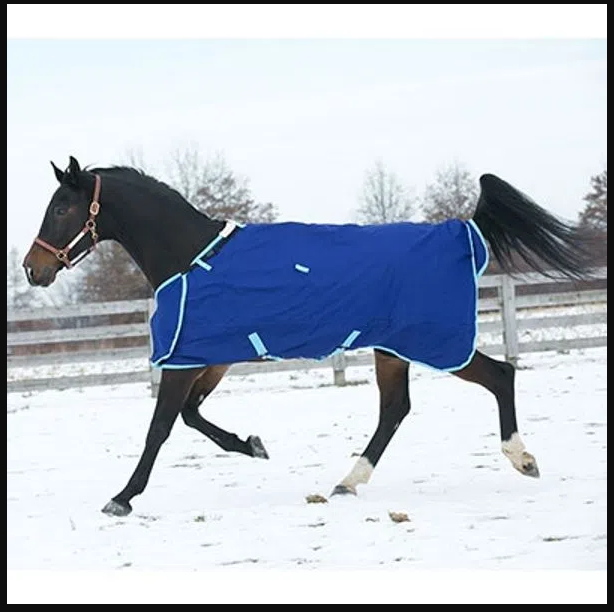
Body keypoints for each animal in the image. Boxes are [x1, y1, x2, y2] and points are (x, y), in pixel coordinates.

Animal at [21, 154, 596, 516]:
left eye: (62, 207)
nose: (32, 270)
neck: (189, 257)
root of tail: (464, 231)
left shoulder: (187, 360)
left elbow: (160, 427)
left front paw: (121, 497)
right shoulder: (210, 357)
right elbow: (191, 417)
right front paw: (252, 445)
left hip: (432, 342)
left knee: (499, 375)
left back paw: (523, 460)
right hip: (392, 348)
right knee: (396, 410)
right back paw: (346, 483)